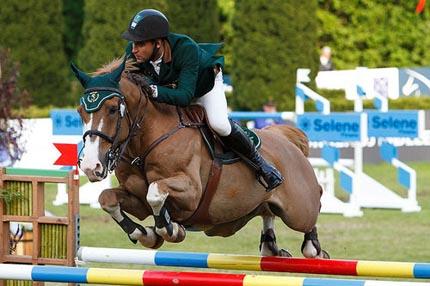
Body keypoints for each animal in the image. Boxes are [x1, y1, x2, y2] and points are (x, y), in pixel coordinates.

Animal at [73, 57, 330, 256]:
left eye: (112, 109)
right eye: (80, 112)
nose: (90, 167)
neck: (144, 145)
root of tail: (285, 139)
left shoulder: (190, 193)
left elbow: (155, 191)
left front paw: (170, 229)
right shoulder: (137, 200)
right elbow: (107, 198)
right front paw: (146, 234)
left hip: (298, 210)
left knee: (315, 204)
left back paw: (313, 248)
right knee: (267, 213)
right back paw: (271, 246)